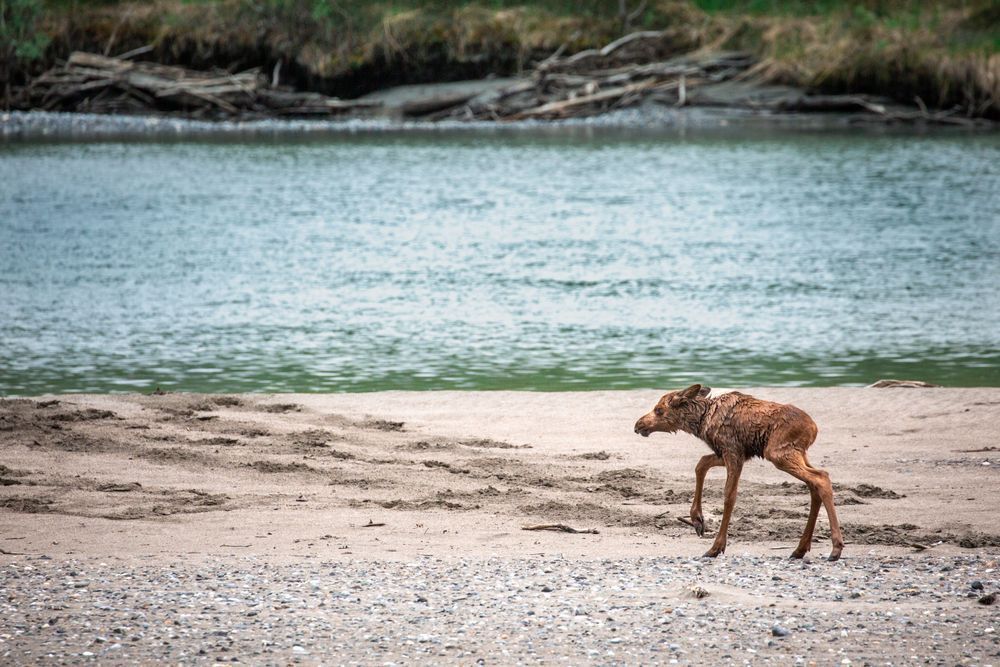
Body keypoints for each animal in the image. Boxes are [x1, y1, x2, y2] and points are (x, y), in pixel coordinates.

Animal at [634, 384, 844, 561]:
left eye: (659, 410)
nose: (638, 425)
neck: (701, 422)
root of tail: (813, 428)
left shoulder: (732, 452)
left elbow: (729, 496)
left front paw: (716, 547)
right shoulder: (731, 453)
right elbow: (701, 464)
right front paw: (697, 520)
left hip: (778, 453)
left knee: (821, 478)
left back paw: (835, 548)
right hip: (797, 453)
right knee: (814, 483)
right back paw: (801, 549)